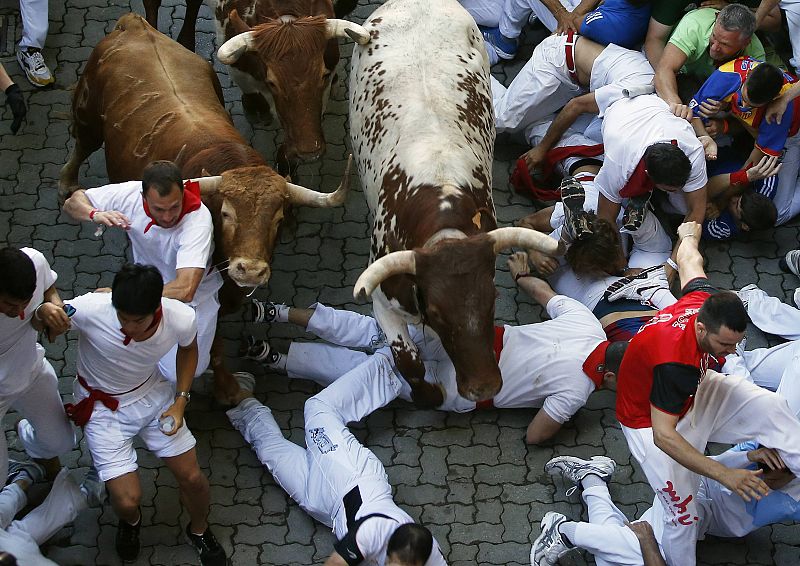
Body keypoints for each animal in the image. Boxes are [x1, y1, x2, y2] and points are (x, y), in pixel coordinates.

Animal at [60, 14, 350, 400]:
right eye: (226, 214)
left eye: (277, 220)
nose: (250, 271)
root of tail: (134, 24)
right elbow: (209, 346)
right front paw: (228, 390)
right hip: (89, 112)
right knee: (80, 143)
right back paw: (67, 182)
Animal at [350, 0, 564, 404]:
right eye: (435, 311)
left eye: (493, 298)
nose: (484, 387)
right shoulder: (382, 300)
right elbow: (407, 360)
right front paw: (430, 394)